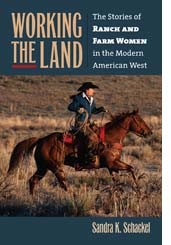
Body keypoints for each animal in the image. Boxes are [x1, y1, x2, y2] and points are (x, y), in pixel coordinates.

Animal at [7, 109, 152, 195]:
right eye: (140, 120)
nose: (149, 132)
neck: (111, 138)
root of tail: (41, 139)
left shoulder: (112, 166)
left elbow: (121, 178)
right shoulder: (112, 164)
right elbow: (130, 169)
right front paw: (139, 191)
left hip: (43, 167)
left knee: (33, 181)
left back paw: (32, 199)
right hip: (55, 167)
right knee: (63, 184)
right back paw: (73, 197)